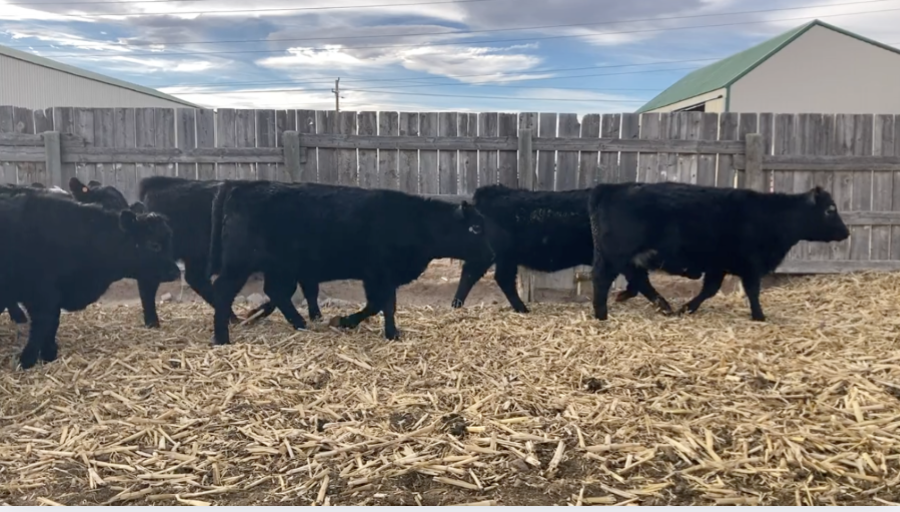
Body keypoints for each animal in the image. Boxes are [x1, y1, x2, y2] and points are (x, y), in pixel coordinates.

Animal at [0, 191, 181, 369]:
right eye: (154, 245)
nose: (176, 271)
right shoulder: (41, 294)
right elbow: (42, 324)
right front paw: (27, 359)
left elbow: (52, 324)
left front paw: (48, 352)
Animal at [132, 176, 323, 329]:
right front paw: (257, 313)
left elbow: (308, 289)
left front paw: (316, 316)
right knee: (150, 283)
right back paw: (153, 321)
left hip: (195, 257)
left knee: (195, 280)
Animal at [206, 180, 488, 344]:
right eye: (475, 228)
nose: (489, 252)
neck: (414, 222)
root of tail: (239, 188)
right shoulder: (379, 275)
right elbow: (381, 305)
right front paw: (383, 331)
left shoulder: (381, 277)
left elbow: (381, 305)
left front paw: (350, 323)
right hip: (241, 264)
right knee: (223, 291)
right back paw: (221, 338)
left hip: (279, 268)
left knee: (277, 293)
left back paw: (300, 324)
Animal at [450, 184, 700, 313]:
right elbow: (641, 282)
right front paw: (664, 305)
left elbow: (639, 282)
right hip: (492, 254)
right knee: (475, 274)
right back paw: (459, 305)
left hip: (504, 257)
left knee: (496, 278)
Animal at [588, 181, 850, 322]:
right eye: (830, 209)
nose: (846, 232)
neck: (771, 215)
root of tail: (611, 188)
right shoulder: (751, 265)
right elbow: (752, 291)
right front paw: (759, 316)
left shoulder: (718, 266)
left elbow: (710, 290)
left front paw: (686, 308)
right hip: (615, 255)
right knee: (603, 279)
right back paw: (602, 313)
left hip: (631, 257)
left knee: (639, 280)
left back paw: (661, 305)